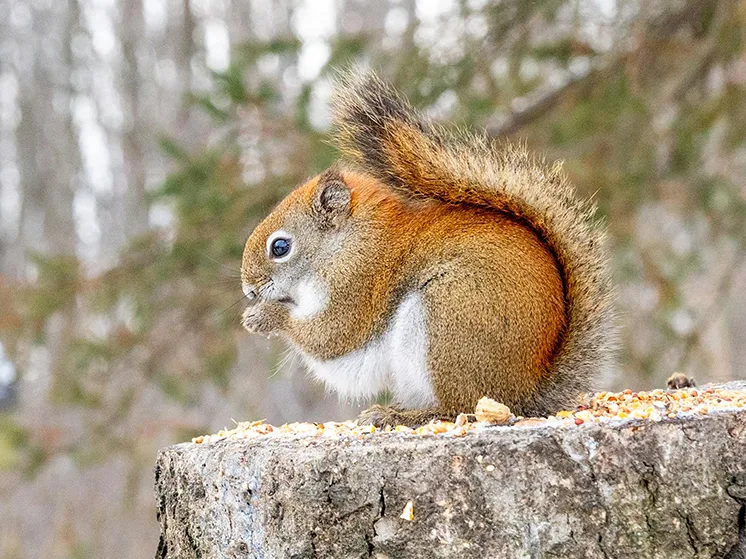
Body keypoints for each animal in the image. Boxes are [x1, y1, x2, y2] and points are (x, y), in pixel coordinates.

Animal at [240, 71, 616, 427]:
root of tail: (525, 392)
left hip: (448, 319)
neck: (345, 245)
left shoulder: (358, 282)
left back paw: (402, 416)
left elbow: (331, 335)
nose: (248, 291)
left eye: (280, 247)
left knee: (461, 407)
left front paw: (264, 317)